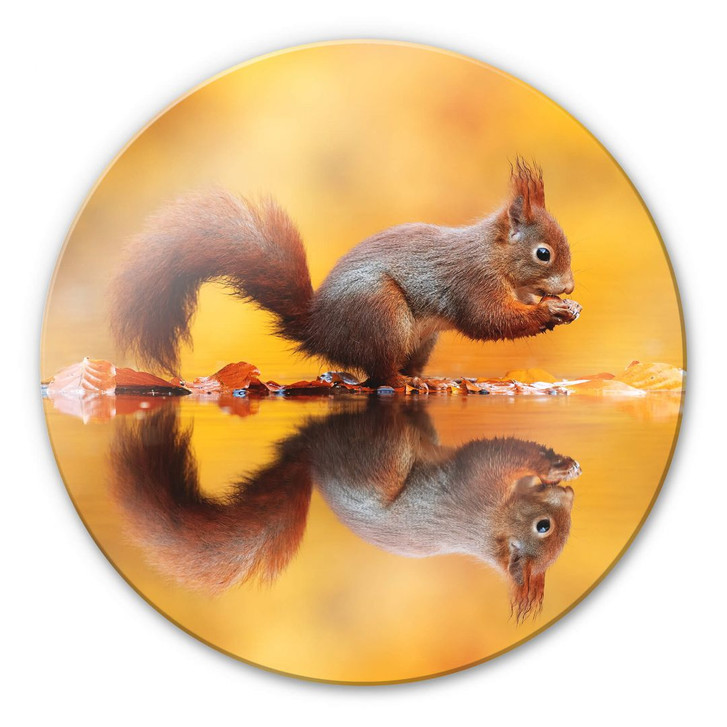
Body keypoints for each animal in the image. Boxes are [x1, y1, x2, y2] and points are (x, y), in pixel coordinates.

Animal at [109, 160, 580, 385]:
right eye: (543, 253)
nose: (570, 286)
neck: (493, 254)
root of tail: (319, 329)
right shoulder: (472, 280)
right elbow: (488, 320)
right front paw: (548, 312)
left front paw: (560, 306)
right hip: (381, 313)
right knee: (378, 373)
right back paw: (406, 383)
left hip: (420, 339)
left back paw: (428, 379)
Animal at [111, 399, 581, 620]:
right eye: (543, 527)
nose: (570, 499)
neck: (491, 528)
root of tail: (313, 459)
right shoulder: (482, 481)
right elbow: (507, 450)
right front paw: (555, 465)